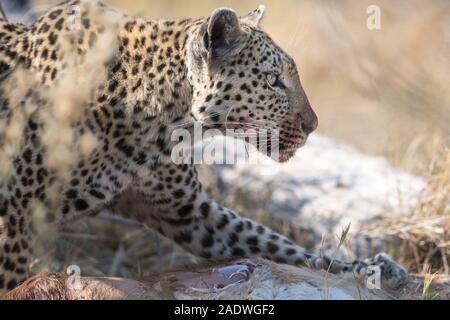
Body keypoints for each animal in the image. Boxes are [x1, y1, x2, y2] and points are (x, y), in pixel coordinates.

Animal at [0, 0, 408, 294]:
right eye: (274, 81)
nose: (313, 125)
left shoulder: (187, 213)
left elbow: (276, 244)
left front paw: (374, 270)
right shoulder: (14, 215)